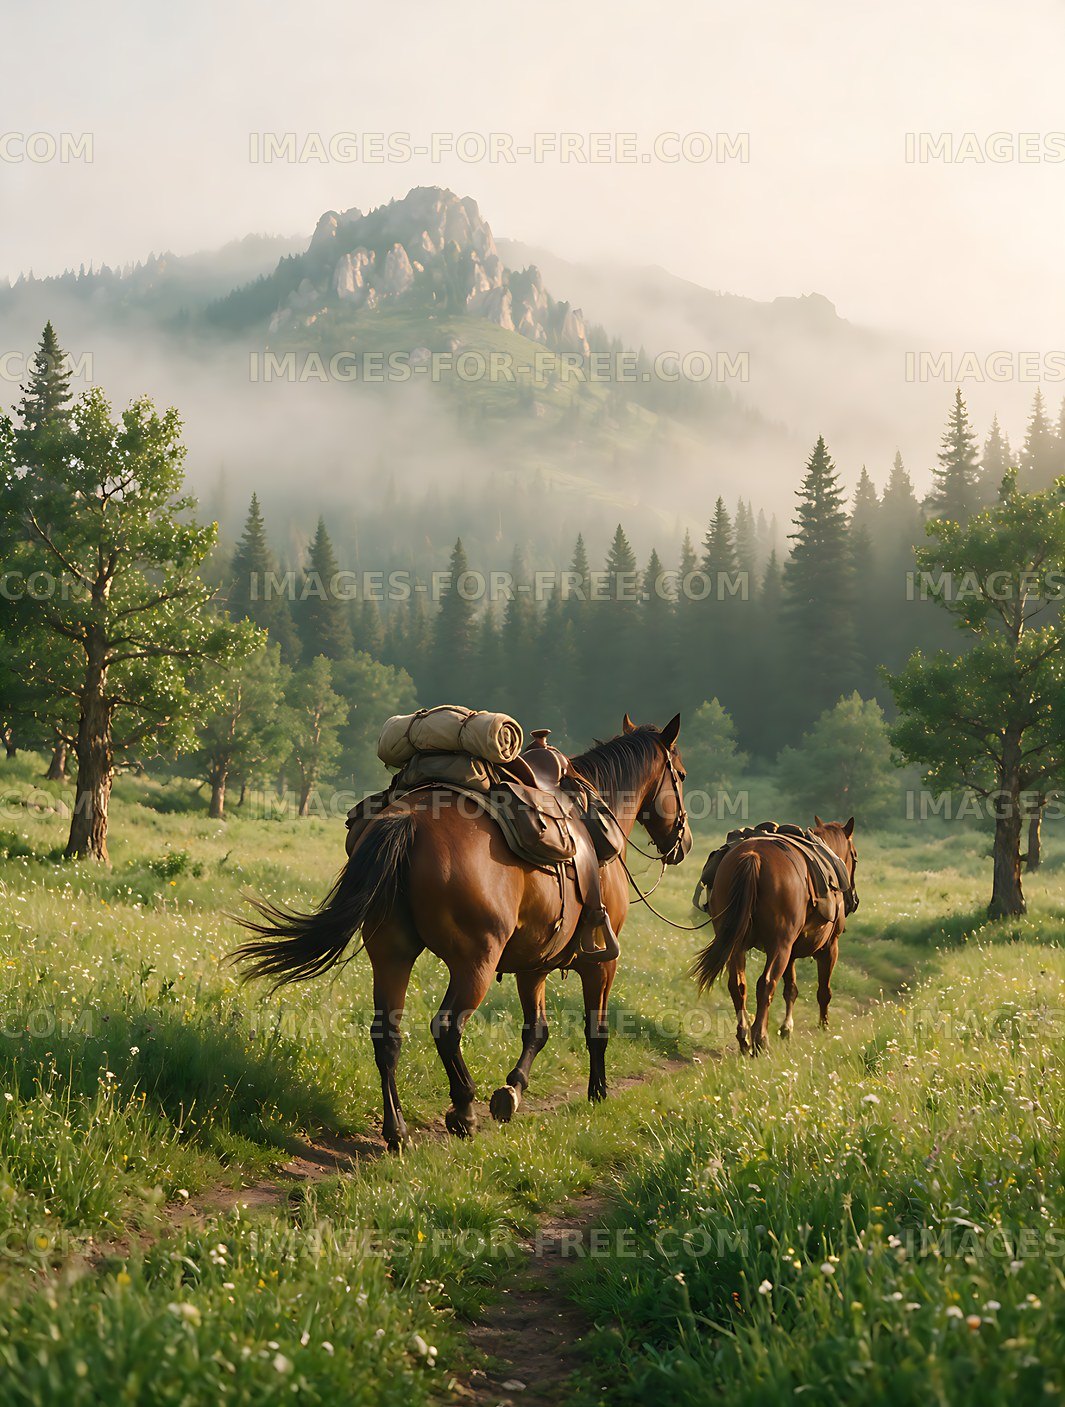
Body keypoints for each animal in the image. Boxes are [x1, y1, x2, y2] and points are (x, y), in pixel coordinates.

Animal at [234, 714, 692, 1149]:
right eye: (682, 776)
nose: (684, 843)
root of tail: (408, 820)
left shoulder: (533, 966)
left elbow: (537, 1030)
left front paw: (512, 1091)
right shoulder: (600, 963)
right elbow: (595, 1029)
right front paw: (598, 1092)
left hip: (391, 953)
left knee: (387, 1035)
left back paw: (397, 1130)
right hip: (476, 962)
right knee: (446, 1028)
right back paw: (464, 1109)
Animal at [690, 817, 857, 1054]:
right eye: (855, 857)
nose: (853, 900)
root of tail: (753, 857)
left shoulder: (791, 953)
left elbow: (791, 989)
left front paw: (786, 1029)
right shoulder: (828, 948)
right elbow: (823, 991)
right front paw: (823, 1027)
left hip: (738, 946)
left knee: (738, 986)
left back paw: (744, 1039)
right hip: (780, 947)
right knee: (766, 984)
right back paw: (760, 1039)